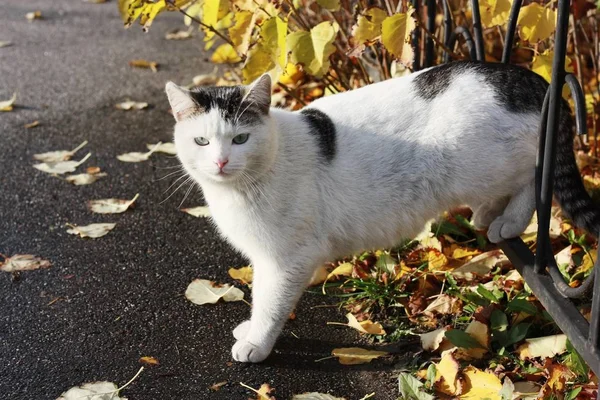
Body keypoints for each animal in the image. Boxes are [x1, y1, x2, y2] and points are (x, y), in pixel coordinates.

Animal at [165, 61, 600, 362]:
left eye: (240, 139)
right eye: (202, 141)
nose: (221, 162)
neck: (240, 190)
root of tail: (531, 78)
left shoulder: (288, 259)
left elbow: (270, 303)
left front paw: (257, 342)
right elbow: (260, 297)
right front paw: (250, 331)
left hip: (482, 165)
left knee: (535, 175)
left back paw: (507, 220)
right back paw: (487, 214)